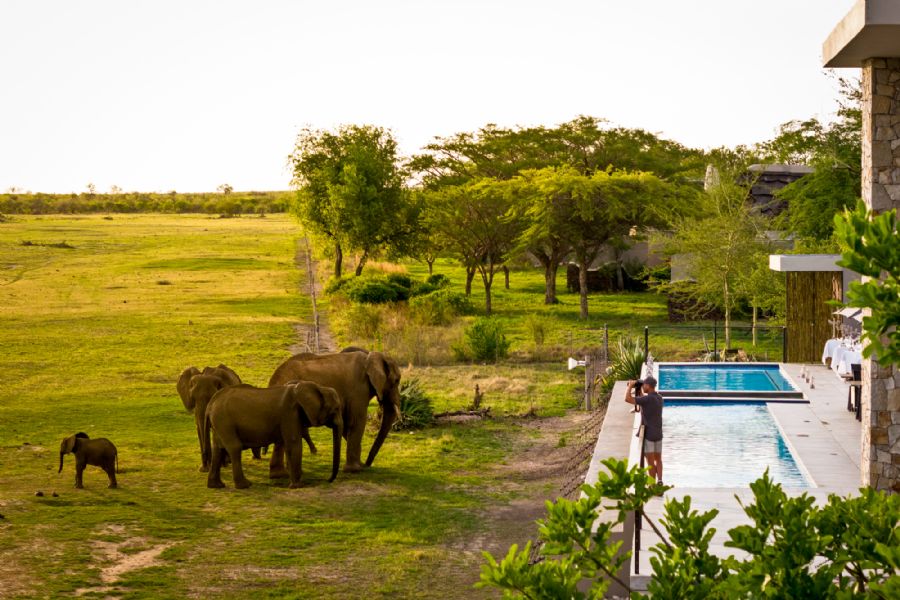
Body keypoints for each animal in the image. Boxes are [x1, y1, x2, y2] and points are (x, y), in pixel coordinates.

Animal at [204, 382, 343, 489]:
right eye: (336, 409)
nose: (328, 480)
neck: (319, 387)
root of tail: (210, 404)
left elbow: (288, 445)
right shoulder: (289, 414)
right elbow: (294, 443)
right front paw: (298, 486)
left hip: (219, 423)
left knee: (218, 449)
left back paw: (216, 486)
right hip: (224, 421)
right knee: (234, 447)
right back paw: (245, 485)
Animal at [268, 350, 401, 473]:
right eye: (396, 381)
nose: (367, 464)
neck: (371, 356)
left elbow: (346, 425)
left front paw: (357, 465)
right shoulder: (358, 390)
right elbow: (356, 422)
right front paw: (354, 470)